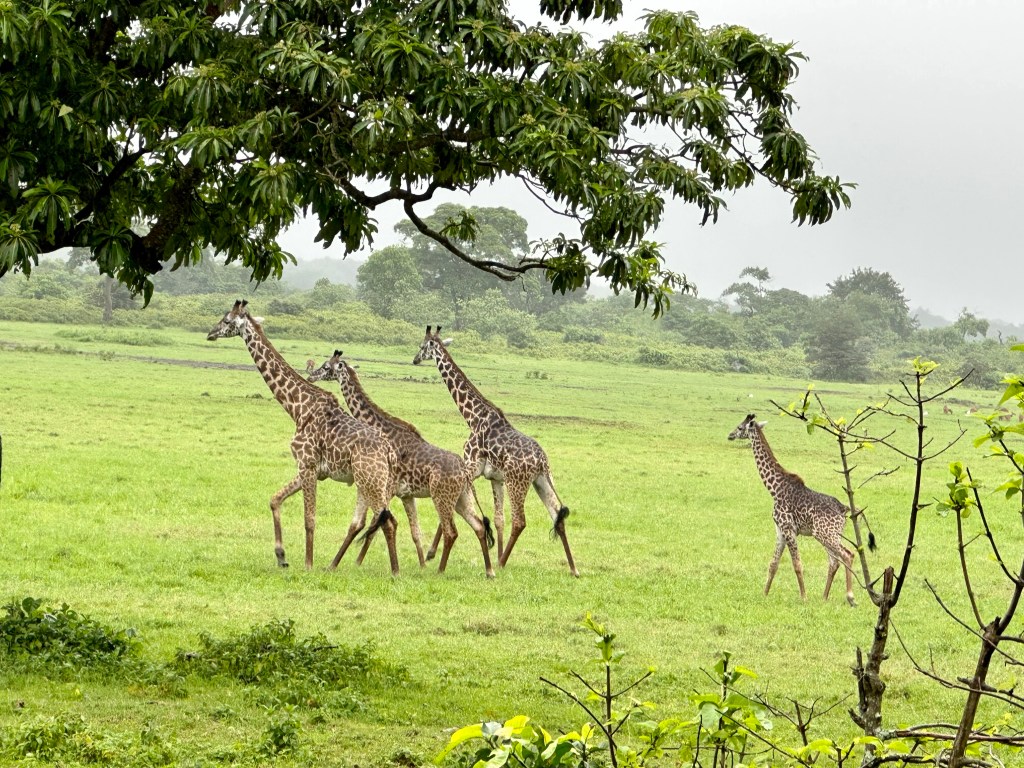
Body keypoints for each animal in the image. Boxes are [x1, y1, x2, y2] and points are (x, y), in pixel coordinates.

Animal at [206, 300, 402, 574]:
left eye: (226, 320)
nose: (210, 333)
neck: (298, 408)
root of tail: (390, 453)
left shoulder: (307, 464)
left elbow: (309, 519)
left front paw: (308, 565)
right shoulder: (311, 469)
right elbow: (275, 499)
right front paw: (281, 556)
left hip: (372, 482)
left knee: (387, 521)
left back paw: (394, 572)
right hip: (372, 483)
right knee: (376, 520)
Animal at [307, 350, 496, 578]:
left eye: (327, 367)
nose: (311, 376)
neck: (381, 427)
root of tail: (465, 473)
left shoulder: (387, 487)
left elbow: (374, 523)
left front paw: (356, 561)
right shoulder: (405, 494)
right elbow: (413, 531)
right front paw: (421, 564)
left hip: (442, 497)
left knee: (452, 531)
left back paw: (440, 571)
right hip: (462, 498)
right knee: (479, 526)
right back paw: (489, 571)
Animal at [413, 326, 578, 577]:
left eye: (422, 346)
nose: (414, 359)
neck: (473, 416)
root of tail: (541, 461)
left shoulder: (471, 465)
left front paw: (432, 553)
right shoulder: (495, 478)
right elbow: (499, 518)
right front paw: (495, 552)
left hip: (517, 481)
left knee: (520, 521)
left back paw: (501, 563)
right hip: (542, 481)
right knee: (557, 515)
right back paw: (573, 568)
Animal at [728, 413, 856, 606]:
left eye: (740, 427)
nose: (730, 435)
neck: (774, 488)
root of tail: (844, 509)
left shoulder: (788, 529)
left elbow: (797, 564)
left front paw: (803, 597)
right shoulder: (780, 530)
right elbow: (773, 564)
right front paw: (764, 594)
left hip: (824, 533)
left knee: (847, 555)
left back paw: (850, 596)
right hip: (831, 534)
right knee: (835, 561)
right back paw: (824, 597)